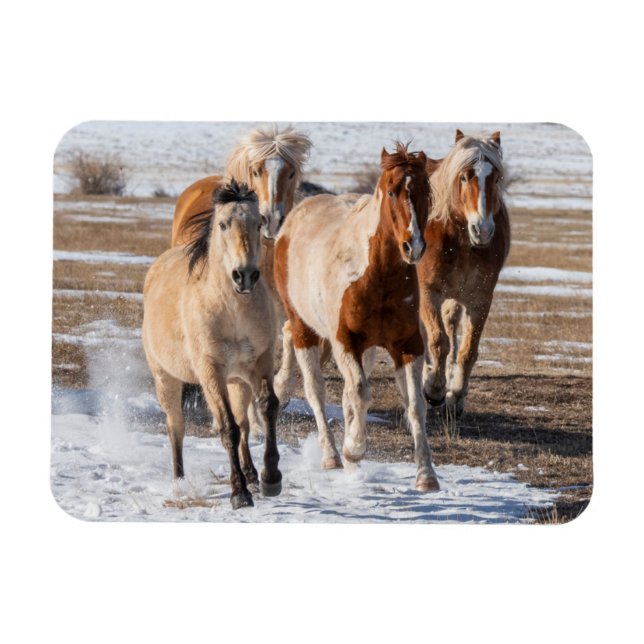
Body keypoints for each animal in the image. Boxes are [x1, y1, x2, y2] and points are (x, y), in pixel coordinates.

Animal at [143, 180, 282, 510]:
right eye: (223, 224)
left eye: (258, 224)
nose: (245, 276)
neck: (233, 310)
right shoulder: (210, 372)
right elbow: (227, 428)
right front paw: (239, 493)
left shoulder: (261, 361)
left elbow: (267, 408)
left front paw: (270, 479)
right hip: (166, 378)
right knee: (176, 427)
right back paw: (179, 482)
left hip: (237, 380)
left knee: (244, 423)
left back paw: (252, 474)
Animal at [274, 143, 440, 492]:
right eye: (391, 191)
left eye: (425, 191)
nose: (414, 246)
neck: (377, 276)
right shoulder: (345, 341)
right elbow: (361, 392)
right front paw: (354, 449)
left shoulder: (407, 345)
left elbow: (414, 404)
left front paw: (426, 475)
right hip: (305, 330)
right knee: (315, 388)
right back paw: (332, 455)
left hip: (367, 348)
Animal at [418, 129, 510, 416]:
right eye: (463, 176)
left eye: (496, 177)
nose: (483, 230)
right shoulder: (429, 292)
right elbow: (438, 341)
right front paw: (434, 390)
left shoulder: (479, 298)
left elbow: (467, 350)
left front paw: (455, 394)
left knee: (451, 328)